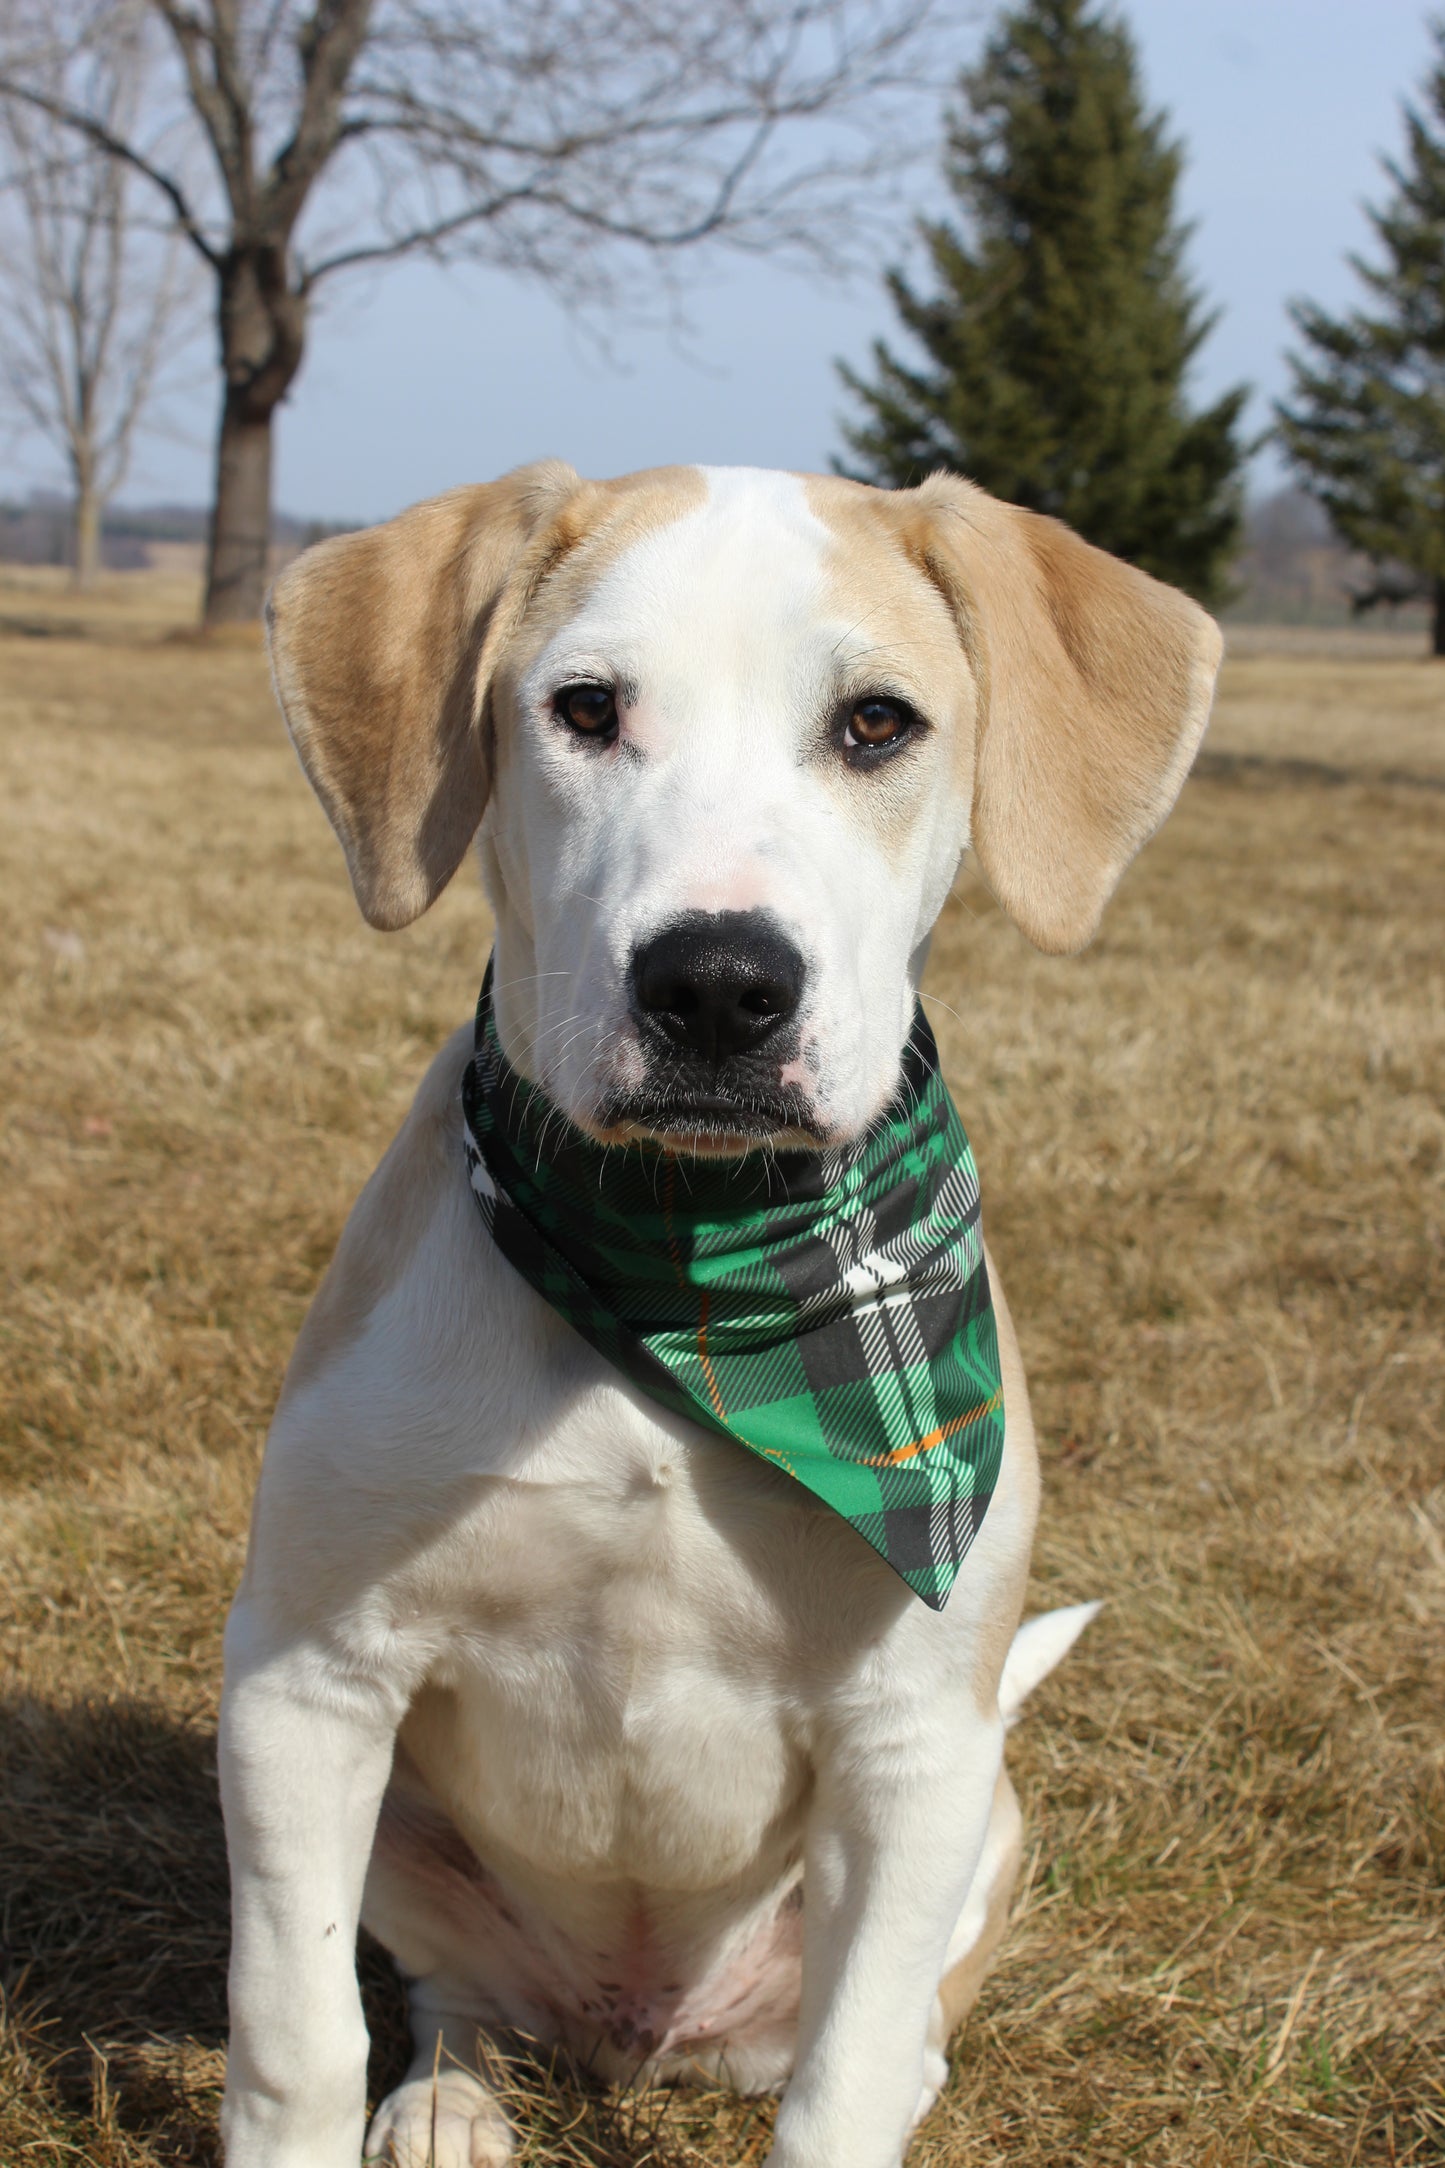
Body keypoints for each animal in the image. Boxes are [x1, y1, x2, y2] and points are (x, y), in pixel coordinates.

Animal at [223, 461, 1221, 2168]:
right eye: (584, 707)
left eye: (878, 723)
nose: (714, 986)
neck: (696, 1282)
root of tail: (632, 2033)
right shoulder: (305, 1683)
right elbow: (296, 2038)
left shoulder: (912, 1743)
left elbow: (846, 2082)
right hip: (411, 1833)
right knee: (447, 1996)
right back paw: (450, 2100)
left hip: (979, 1821)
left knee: (889, 2041)